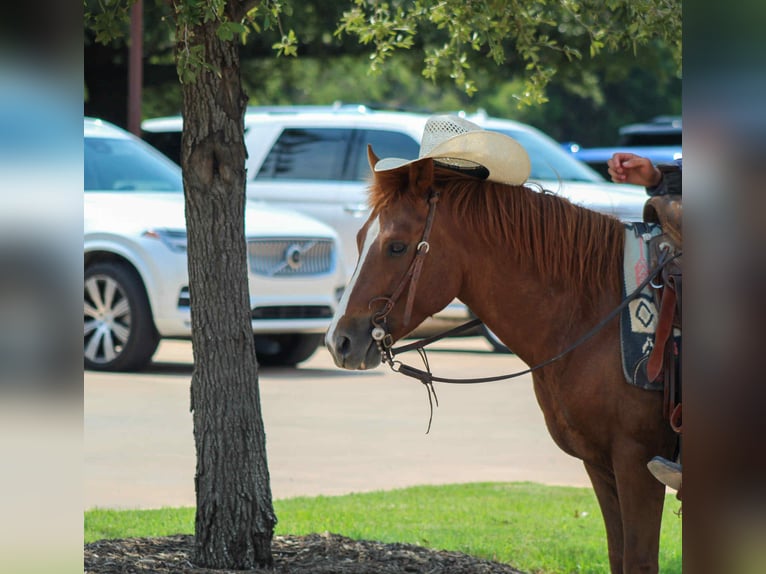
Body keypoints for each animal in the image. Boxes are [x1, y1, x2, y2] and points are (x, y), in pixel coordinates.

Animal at [325, 148, 678, 574]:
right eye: (360, 238)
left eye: (396, 246)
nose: (339, 341)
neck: (595, 312)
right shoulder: (600, 464)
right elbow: (619, 555)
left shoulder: (636, 462)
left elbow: (640, 559)